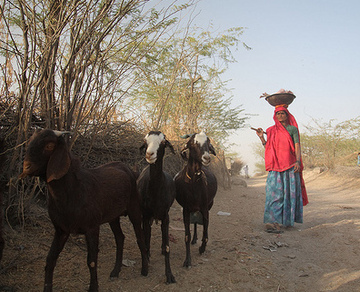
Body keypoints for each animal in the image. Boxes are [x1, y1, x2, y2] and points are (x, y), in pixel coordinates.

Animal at [19, 130, 149, 292]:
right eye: (31, 141)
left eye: (49, 146)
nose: (26, 167)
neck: (73, 190)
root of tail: (130, 170)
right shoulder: (61, 229)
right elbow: (50, 259)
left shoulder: (92, 227)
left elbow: (91, 260)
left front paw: (93, 287)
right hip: (113, 216)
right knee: (120, 237)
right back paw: (115, 271)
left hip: (134, 209)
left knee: (140, 236)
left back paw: (145, 269)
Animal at [137, 131, 176, 284]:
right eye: (145, 141)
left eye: (164, 142)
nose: (149, 154)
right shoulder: (146, 215)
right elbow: (146, 239)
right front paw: (145, 266)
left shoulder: (166, 216)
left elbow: (168, 247)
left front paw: (169, 275)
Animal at [174, 131, 217, 268]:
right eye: (192, 143)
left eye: (208, 142)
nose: (206, 158)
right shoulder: (186, 209)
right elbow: (186, 236)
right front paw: (187, 260)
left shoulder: (204, 208)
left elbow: (206, 232)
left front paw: (202, 248)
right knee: (195, 223)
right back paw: (194, 239)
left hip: (208, 205)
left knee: (200, 224)